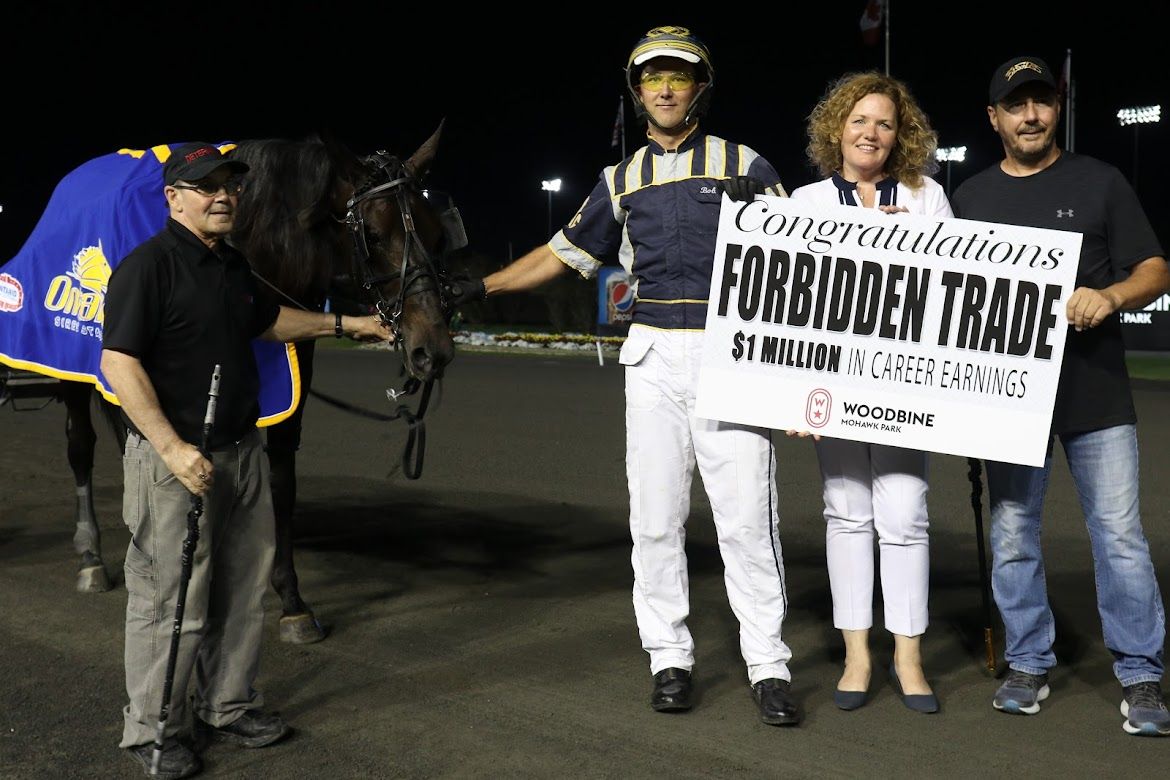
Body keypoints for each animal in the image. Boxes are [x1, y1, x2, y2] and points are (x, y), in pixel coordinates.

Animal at [57, 125, 456, 645]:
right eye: (371, 233)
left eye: (437, 233)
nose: (434, 348)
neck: (252, 243)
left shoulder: (291, 372)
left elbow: (282, 480)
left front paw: (292, 601)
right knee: (82, 444)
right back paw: (91, 556)